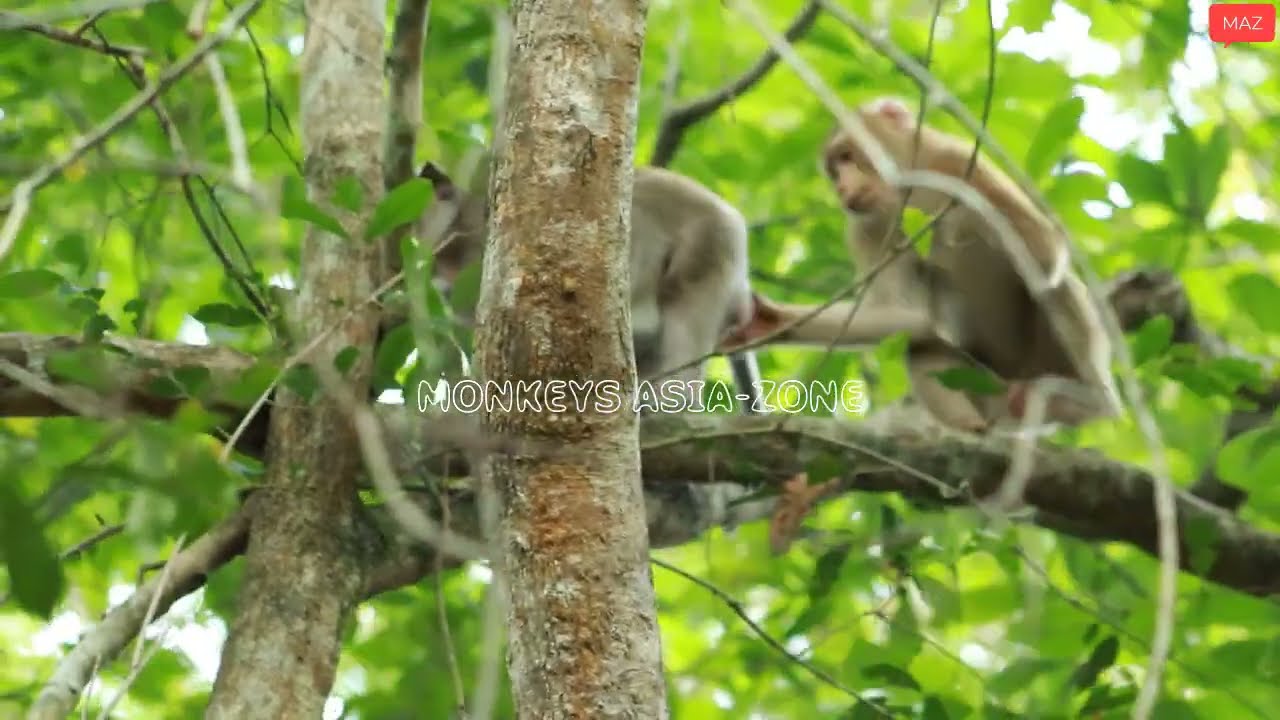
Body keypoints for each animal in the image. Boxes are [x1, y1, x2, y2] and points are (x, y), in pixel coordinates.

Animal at [720, 97, 1122, 433]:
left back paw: (1088, 402)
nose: (843, 189)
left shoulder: (958, 160)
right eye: (833, 172)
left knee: (1057, 288)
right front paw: (768, 321)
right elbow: (911, 315)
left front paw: (954, 220)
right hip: (988, 388)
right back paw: (972, 429)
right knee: (921, 347)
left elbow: (1046, 251)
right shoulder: (867, 228)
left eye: (847, 157)